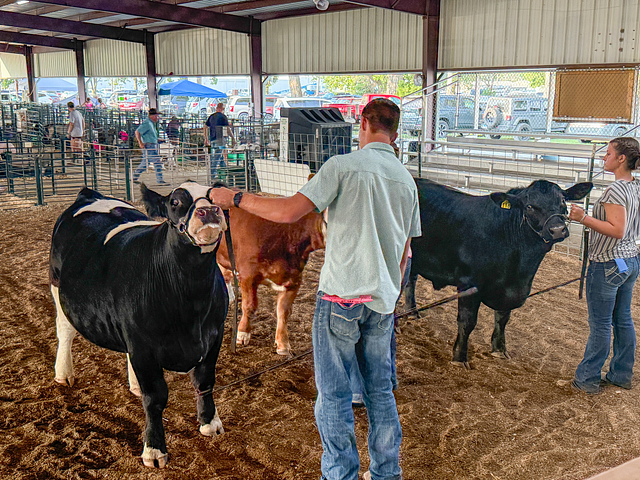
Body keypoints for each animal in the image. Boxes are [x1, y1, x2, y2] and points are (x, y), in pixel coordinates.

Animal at [50, 181, 229, 468]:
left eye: (214, 196)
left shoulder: (214, 335)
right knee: (64, 330)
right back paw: (64, 374)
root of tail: (91, 194)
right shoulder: (144, 346)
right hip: (57, 287)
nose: (208, 211)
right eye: (175, 202)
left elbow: (205, 381)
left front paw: (210, 423)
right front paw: (154, 450)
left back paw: (133, 384)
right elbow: (155, 398)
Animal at [215, 207, 325, 355]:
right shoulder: (247, 274)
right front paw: (243, 333)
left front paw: (283, 343)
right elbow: (249, 306)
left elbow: (284, 311)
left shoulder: (294, 278)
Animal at [404, 178, 593, 368]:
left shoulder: (510, 287)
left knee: (410, 282)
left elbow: (503, 319)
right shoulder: (469, 283)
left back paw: (412, 313)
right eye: (530, 206)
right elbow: (467, 322)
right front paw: (459, 358)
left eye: (562, 201)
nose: (557, 229)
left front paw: (499, 349)